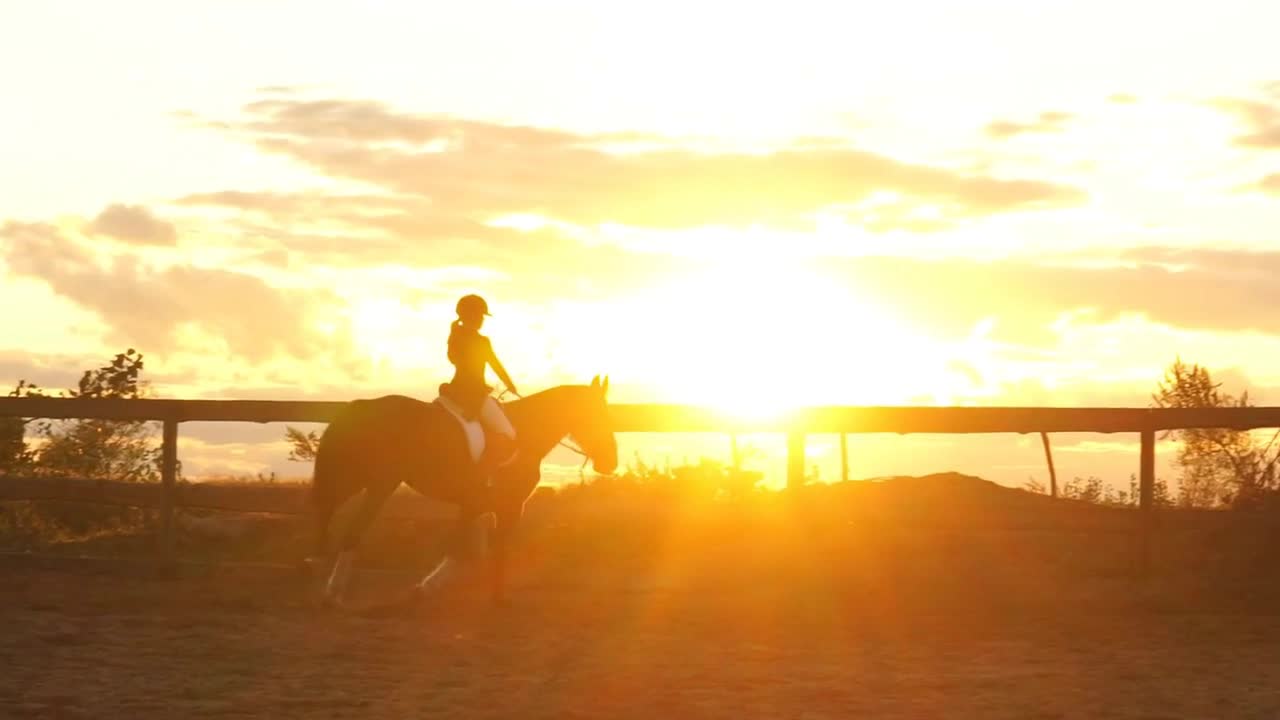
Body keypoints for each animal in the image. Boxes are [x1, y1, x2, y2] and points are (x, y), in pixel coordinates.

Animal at [307, 376, 611, 604]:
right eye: (597, 415)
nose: (610, 463)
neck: (525, 432)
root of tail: (360, 406)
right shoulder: (508, 505)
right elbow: (481, 546)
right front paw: (492, 595)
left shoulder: (477, 503)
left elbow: (465, 543)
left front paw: (433, 585)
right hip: (375, 483)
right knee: (345, 525)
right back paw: (330, 586)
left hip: (365, 482)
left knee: (331, 516)